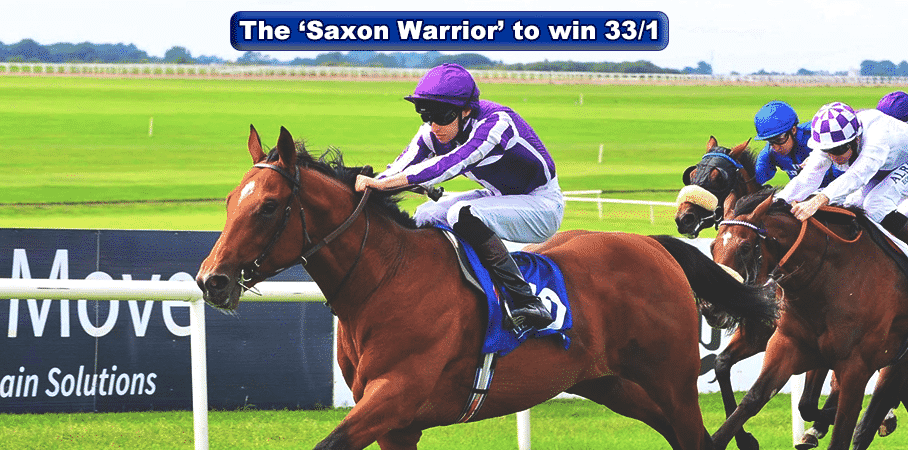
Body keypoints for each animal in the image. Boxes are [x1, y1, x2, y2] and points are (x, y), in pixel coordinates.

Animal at [196, 125, 778, 450]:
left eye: (268, 205)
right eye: (228, 200)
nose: (210, 280)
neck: (385, 280)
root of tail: (654, 246)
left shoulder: (395, 395)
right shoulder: (395, 424)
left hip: (669, 380)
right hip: (612, 383)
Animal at [709, 189, 908, 450]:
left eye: (745, 247)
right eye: (712, 246)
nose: (710, 305)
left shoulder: (856, 367)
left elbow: (841, 428)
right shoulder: (787, 344)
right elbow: (753, 396)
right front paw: (744, 439)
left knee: (867, 422)